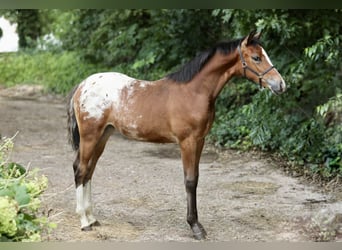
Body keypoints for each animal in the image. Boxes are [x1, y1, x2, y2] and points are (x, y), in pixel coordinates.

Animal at [67, 31, 286, 240]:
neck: (194, 92)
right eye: (256, 57)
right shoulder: (187, 142)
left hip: (103, 136)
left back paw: (92, 218)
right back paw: (84, 221)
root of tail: (82, 86)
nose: (281, 85)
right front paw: (195, 227)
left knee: (89, 171)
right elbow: (190, 181)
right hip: (90, 136)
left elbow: (195, 177)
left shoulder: (200, 140)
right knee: (81, 169)